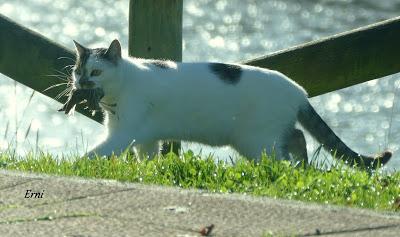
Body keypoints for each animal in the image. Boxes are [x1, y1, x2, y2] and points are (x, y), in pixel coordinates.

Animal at [69, 39, 390, 168]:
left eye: (95, 73)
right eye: (78, 71)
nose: (82, 83)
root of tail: (299, 92)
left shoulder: (123, 135)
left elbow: (93, 154)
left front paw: (74, 166)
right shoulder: (144, 138)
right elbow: (147, 159)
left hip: (258, 142)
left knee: (287, 152)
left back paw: (295, 169)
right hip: (265, 137)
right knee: (299, 137)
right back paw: (303, 167)